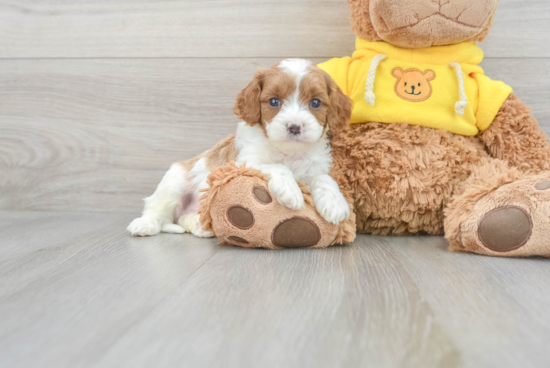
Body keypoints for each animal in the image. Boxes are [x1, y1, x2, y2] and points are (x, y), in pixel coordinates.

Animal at [127, 57, 354, 236]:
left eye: (315, 103)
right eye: (274, 101)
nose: (294, 126)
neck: (288, 152)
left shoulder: (315, 167)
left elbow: (324, 178)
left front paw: (335, 202)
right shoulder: (242, 163)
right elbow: (277, 167)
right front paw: (290, 190)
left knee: (184, 218)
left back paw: (202, 227)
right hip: (174, 183)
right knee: (157, 210)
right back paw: (144, 225)